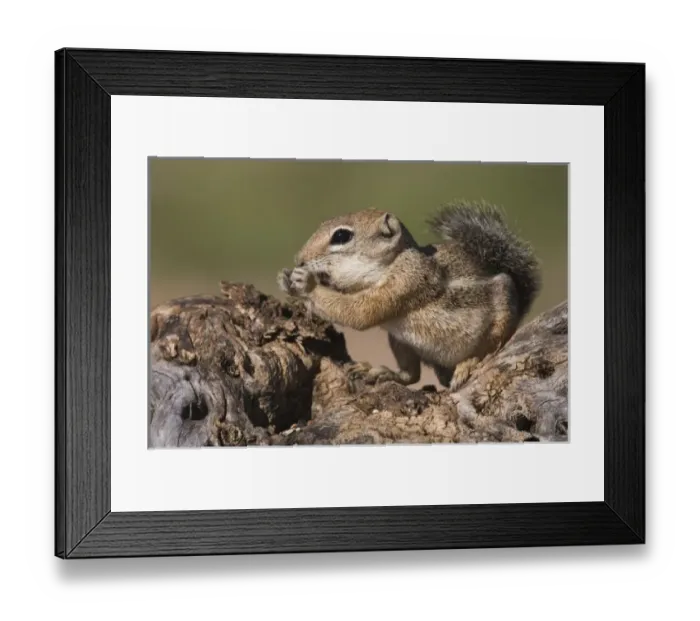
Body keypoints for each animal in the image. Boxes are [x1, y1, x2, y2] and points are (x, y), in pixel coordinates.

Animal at [277, 200, 541, 392]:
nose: (299, 259)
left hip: (500, 314)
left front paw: (306, 283)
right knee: (411, 375)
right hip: (401, 342)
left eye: (341, 236)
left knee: (491, 346)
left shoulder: (407, 279)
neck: (391, 262)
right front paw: (286, 280)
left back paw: (468, 365)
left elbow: (360, 313)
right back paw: (384, 373)